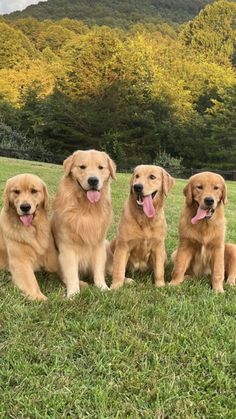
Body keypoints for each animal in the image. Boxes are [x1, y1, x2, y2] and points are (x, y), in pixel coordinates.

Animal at [0, 174, 61, 302]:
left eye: (34, 191)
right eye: (16, 192)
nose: (25, 207)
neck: (33, 230)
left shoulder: (52, 259)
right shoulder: (21, 262)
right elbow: (31, 283)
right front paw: (40, 298)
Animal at [51, 149, 116, 296]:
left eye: (100, 167)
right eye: (82, 167)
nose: (93, 180)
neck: (86, 209)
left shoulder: (99, 245)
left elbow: (99, 272)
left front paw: (103, 288)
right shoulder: (67, 248)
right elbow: (71, 274)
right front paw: (73, 294)